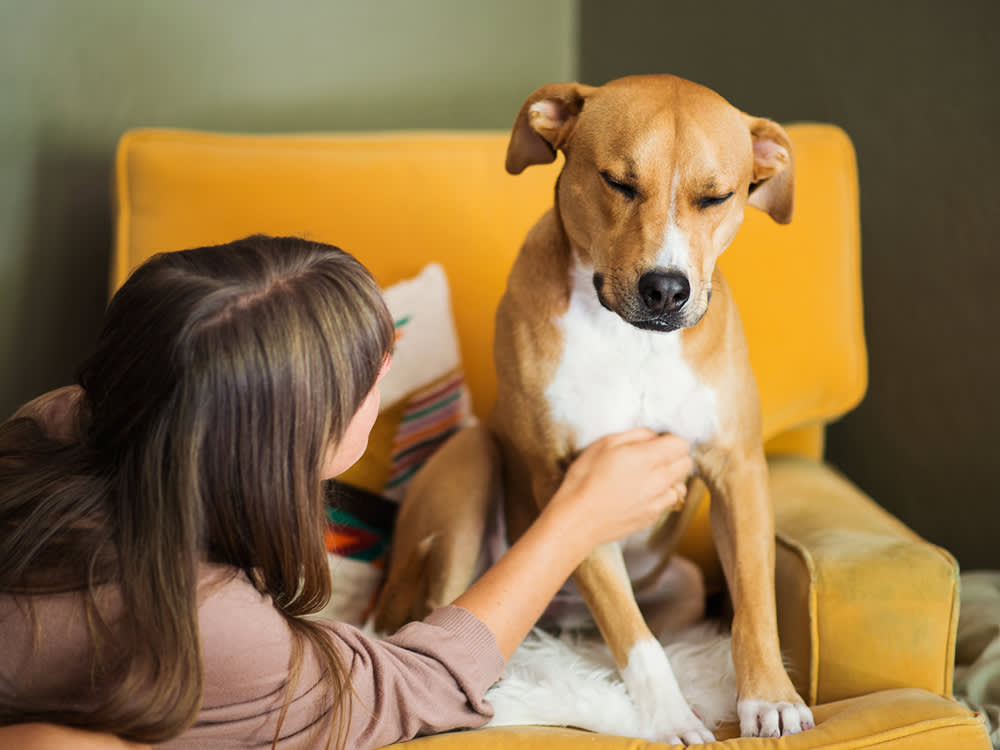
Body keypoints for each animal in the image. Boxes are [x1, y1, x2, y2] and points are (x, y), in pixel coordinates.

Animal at [376, 73, 812, 744]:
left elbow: (755, 601)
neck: (631, 339)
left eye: (715, 197)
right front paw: (669, 719)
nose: (666, 288)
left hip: (684, 585)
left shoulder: (737, 470)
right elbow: (634, 635)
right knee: (435, 618)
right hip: (468, 467)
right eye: (618, 182)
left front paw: (770, 697)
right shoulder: (572, 487)